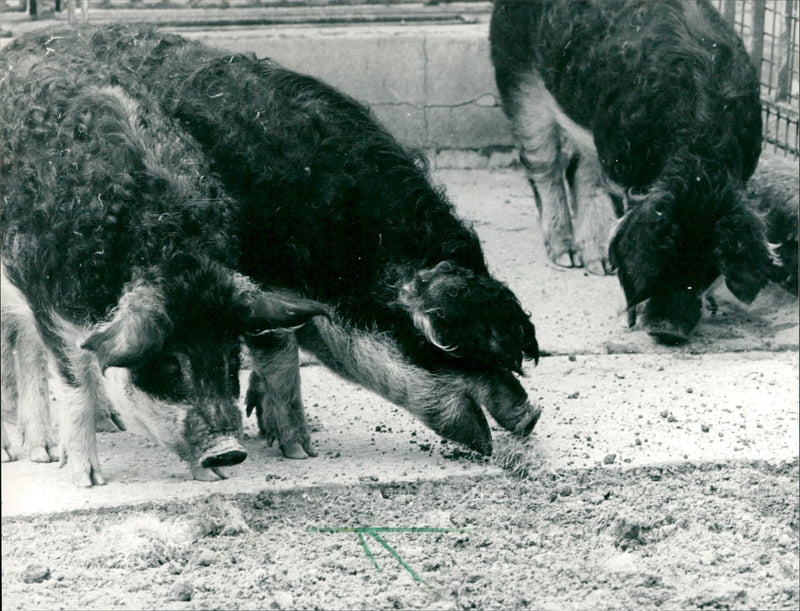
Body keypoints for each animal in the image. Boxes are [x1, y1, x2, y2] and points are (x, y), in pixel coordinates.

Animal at [0, 40, 326, 486]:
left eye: (230, 357)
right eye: (170, 363)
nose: (229, 452)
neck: (167, 246)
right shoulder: (53, 304)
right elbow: (74, 383)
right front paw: (88, 479)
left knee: (26, 346)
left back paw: (60, 446)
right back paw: (25, 455)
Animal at [490, 0, 772, 344]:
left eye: (710, 260)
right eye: (658, 255)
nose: (668, 330)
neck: (698, 159)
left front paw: (712, 305)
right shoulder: (627, 169)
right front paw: (628, 317)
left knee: (582, 171)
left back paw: (598, 264)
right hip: (517, 71)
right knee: (543, 164)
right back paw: (566, 258)